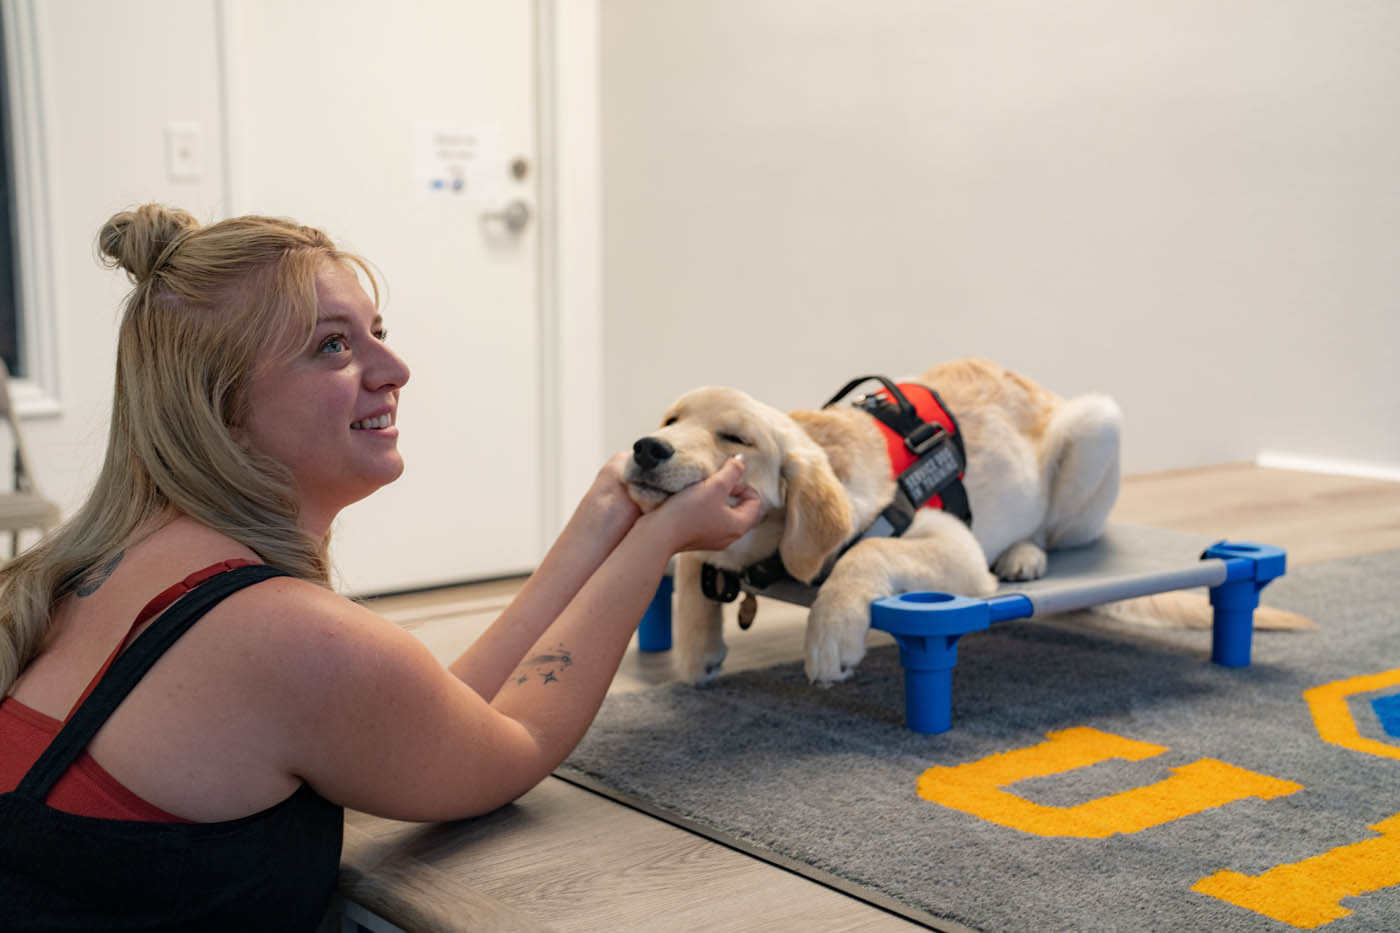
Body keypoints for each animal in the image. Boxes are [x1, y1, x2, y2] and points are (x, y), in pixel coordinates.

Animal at [624, 355, 1299, 683]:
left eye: (735, 438)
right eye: (670, 420)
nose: (646, 448)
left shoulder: (952, 547)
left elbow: (865, 552)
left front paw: (831, 635)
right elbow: (689, 559)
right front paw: (696, 649)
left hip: (1097, 425)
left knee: (1049, 532)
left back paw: (1024, 555)